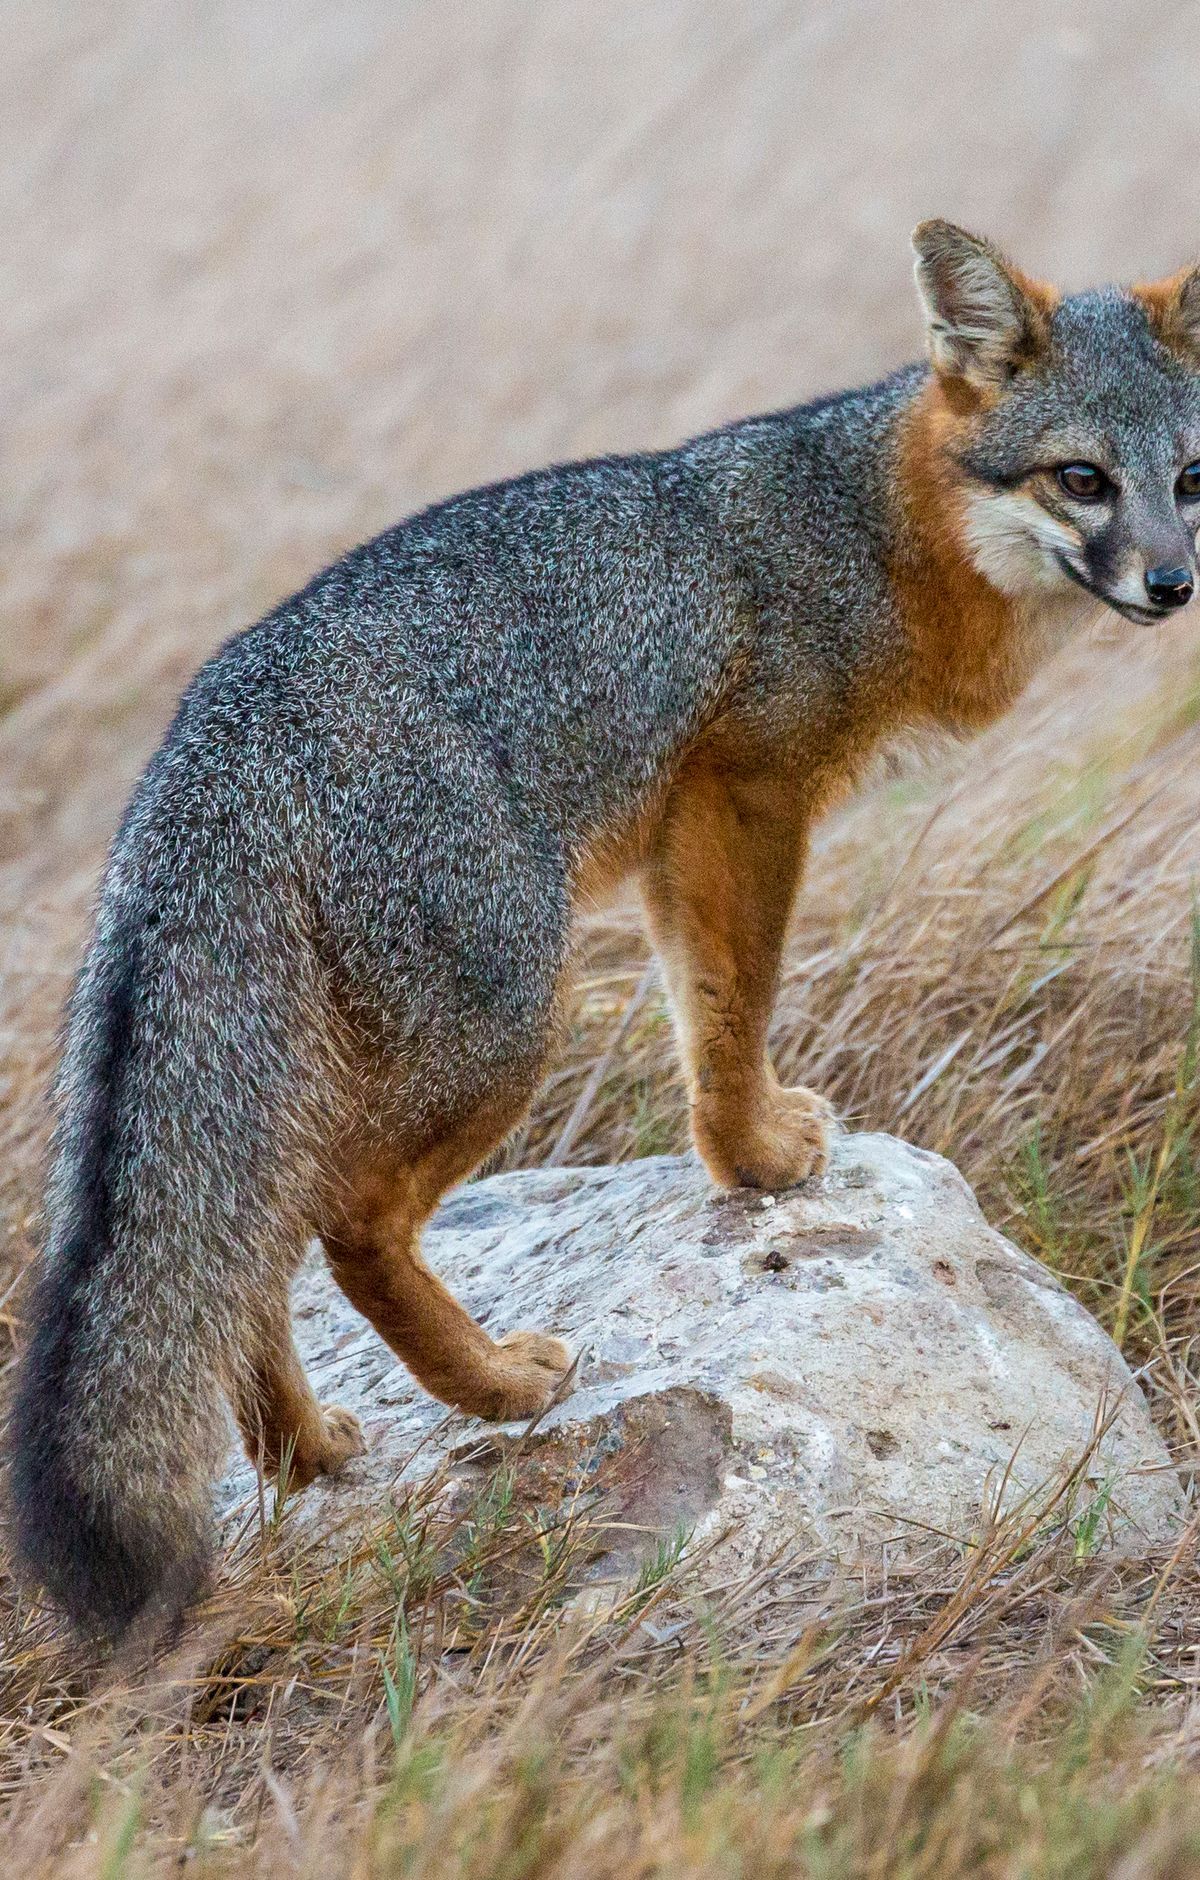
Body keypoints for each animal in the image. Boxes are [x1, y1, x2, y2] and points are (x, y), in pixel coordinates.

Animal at [11, 220, 1200, 1640]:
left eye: (1193, 479)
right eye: (1083, 479)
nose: (1174, 583)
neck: (879, 524)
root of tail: (209, 741)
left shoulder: (686, 838)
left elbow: (707, 1004)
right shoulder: (745, 795)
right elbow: (737, 1003)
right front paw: (757, 1160)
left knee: (243, 1258)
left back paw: (306, 1450)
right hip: (506, 1024)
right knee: (348, 1224)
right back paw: (494, 1385)